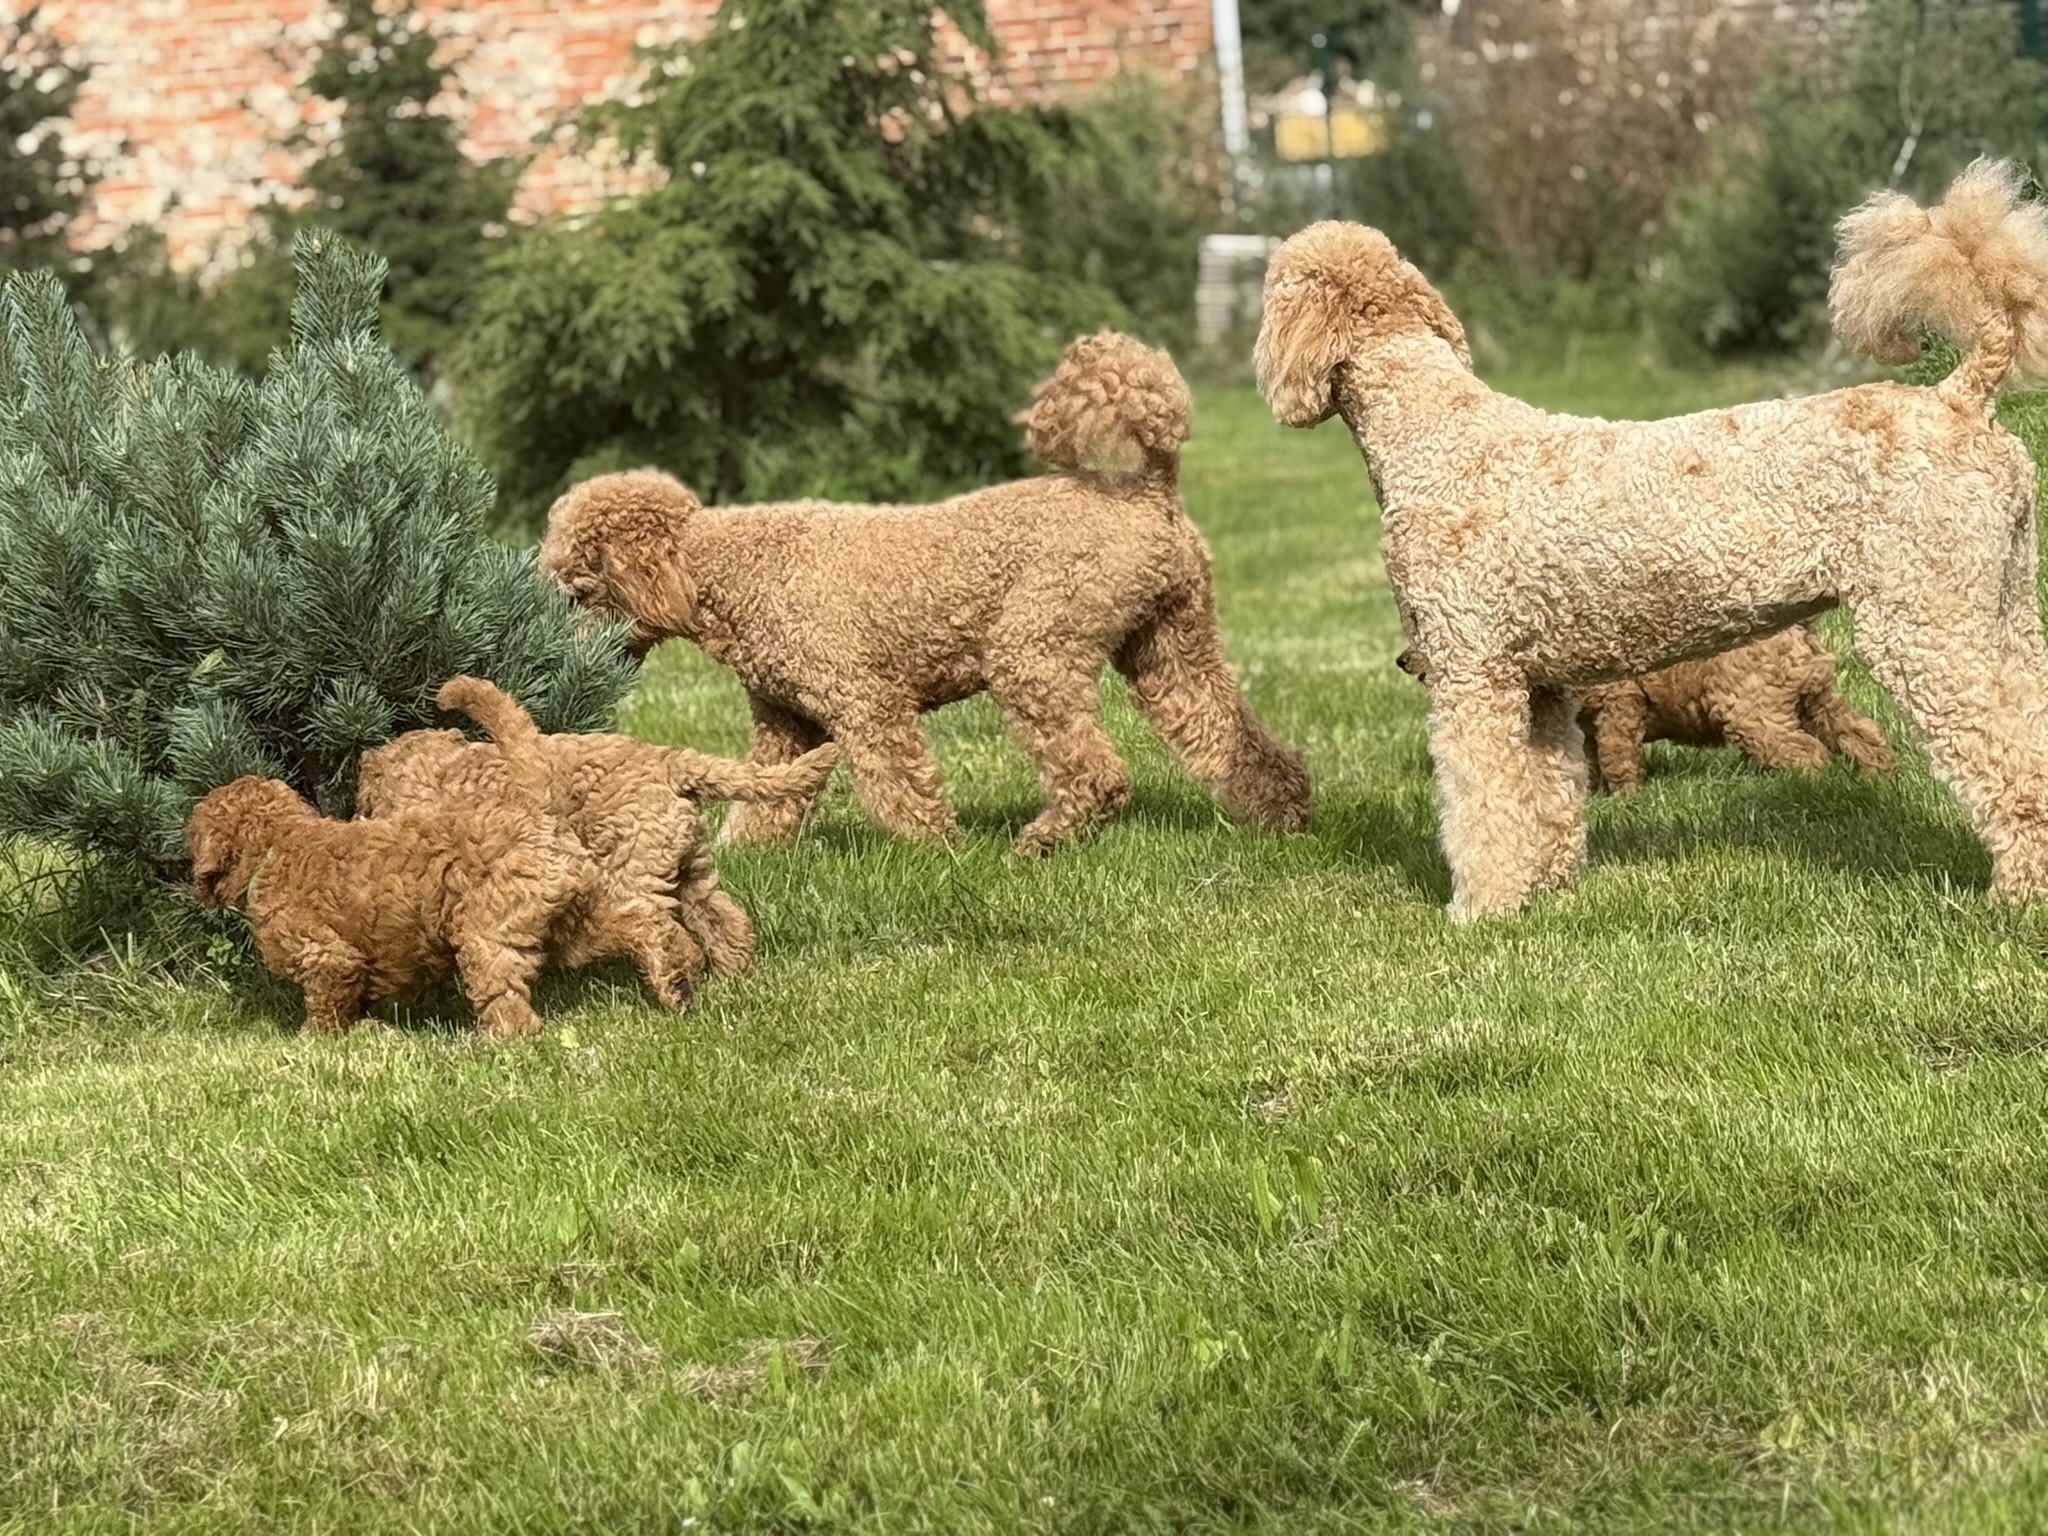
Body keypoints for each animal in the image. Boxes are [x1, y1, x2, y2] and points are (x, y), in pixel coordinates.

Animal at [538, 330, 1311, 854]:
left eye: (576, 591)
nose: (557, 658)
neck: (734, 571)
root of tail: (1150, 488)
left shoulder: (866, 702)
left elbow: (900, 787)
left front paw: (938, 853)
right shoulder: (787, 723)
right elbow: (768, 795)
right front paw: (743, 854)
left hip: (1032, 651)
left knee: (1097, 772)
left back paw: (1044, 839)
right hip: (1172, 645)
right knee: (1231, 736)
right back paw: (1283, 816)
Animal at [1397, 627, 1895, 791]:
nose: (1402, 661)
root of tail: (1799, 630)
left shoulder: (1620, 706)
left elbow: (1618, 757)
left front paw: (1627, 798)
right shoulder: (1591, 723)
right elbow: (1592, 759)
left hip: (1752, 711)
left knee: (1805, 750)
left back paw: (1811, 786)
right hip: (1817, 695)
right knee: (1859, 730)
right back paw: (1877, 774)